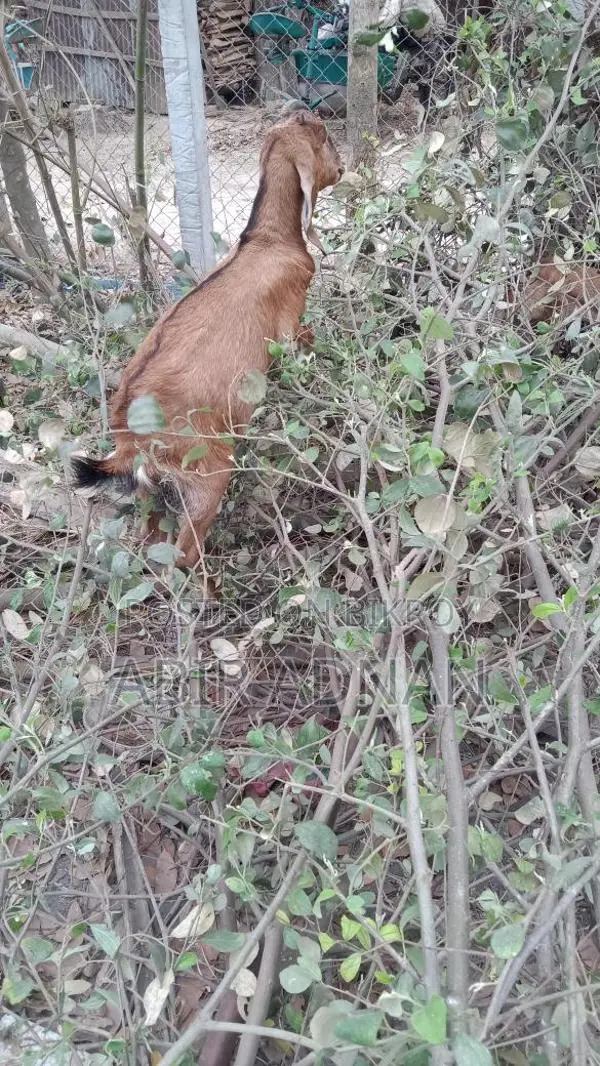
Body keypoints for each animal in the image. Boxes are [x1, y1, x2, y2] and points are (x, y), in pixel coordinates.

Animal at [72, 109, 342, 581]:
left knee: (150, 536)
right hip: (207, 470)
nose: (343, 168)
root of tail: (129, 435)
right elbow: (303, 344)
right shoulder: (290, 322)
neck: (269, 239)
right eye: (323, 137)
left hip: (149, 484)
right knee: (183, 551)